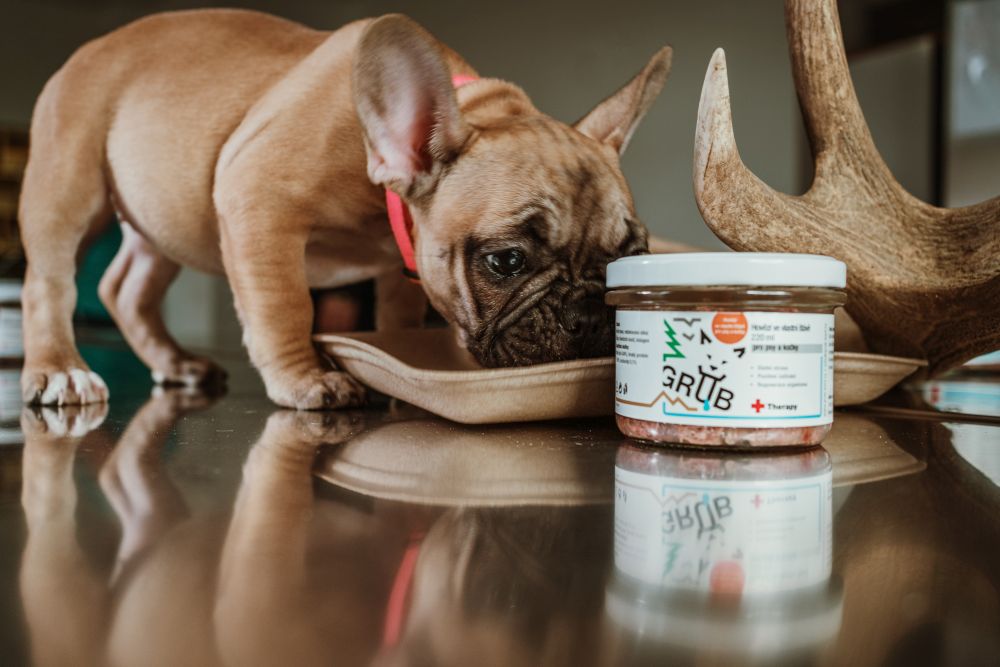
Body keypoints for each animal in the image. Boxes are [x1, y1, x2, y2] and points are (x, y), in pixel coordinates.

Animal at [18, 9, 669, 409]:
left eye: (630, 256)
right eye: (506, 261)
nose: (590, 315)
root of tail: (97, 44)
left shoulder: (403, 262)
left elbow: (394, 315)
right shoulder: (259, 199)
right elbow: (285, 305)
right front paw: (306, 380)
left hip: (164, 219)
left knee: (126, 286)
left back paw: (175, 361)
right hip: (68, 185)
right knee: (49, 283)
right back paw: (60, 369)